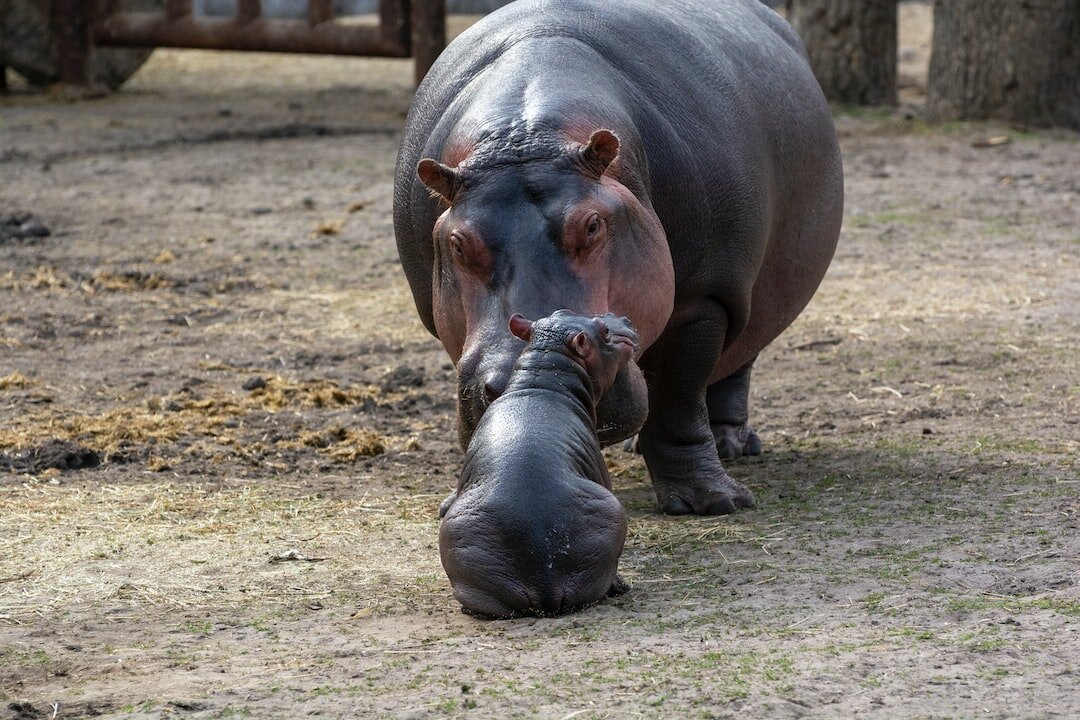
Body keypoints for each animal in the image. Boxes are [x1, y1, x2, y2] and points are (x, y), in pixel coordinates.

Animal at [395, 0, 842, 518]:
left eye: (592, 225)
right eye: (458, 242)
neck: (525, 136)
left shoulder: (705, 299)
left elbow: (678, 399)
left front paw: (712, 501)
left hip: (750, 292)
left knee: (737, 362)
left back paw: (731, 445)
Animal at [438, 310, 639, 621]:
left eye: (562, 312)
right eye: (604, 331)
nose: (621, 317)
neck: (542, 376)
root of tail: (544, 581)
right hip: (614, 510)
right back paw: (622, 585)